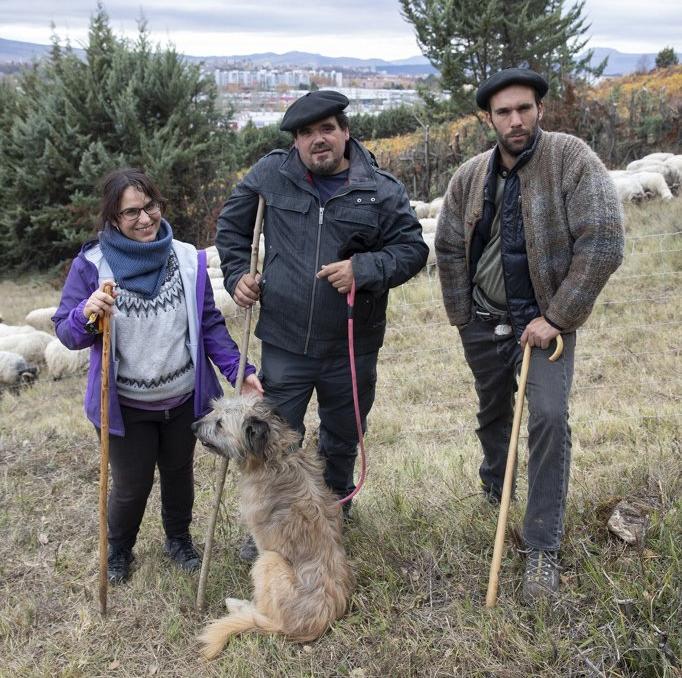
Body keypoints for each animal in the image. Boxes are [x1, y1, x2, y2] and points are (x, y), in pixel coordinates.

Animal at [190, 396, 350, 660]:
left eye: (220, 423)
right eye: (214, 410)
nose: (193, 426)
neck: (275, 456)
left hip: (269, 561)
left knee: (260, 612)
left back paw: (238, 605)